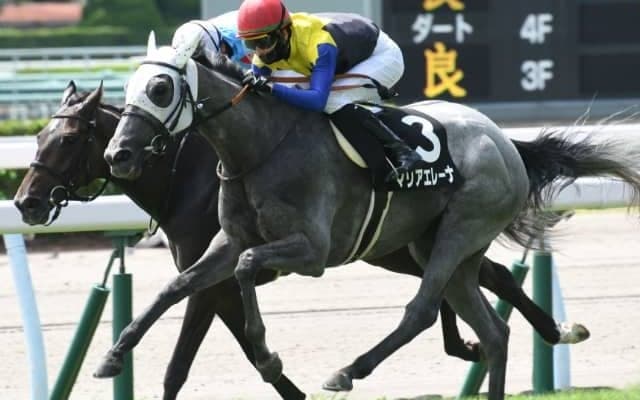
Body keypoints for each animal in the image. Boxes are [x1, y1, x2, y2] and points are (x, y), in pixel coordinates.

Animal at [13, 82, 589, 399]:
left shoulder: (222, 284)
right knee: (475, 282)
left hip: (412, 243)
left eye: (68, 139)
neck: (190, 174)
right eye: (37, 135)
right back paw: (510, 336)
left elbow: (192, 363)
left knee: (465, 285)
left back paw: (547, 331)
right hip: (403, 246)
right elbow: (197, 320)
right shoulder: (215, 272)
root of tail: (499, 140)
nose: (25, 203)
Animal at [101, 38, 640, 399]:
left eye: (160, 87)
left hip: (461, 227)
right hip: (443, 247)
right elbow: (177, 286)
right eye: (128, 86)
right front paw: (113, 355)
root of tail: (504, 140)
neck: (260, 148)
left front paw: (270, 359)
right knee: (493, 333)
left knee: (422, 310)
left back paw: (347, 371)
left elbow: (247, 267)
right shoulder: (227, 241)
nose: (118, 155)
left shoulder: (313, 252)